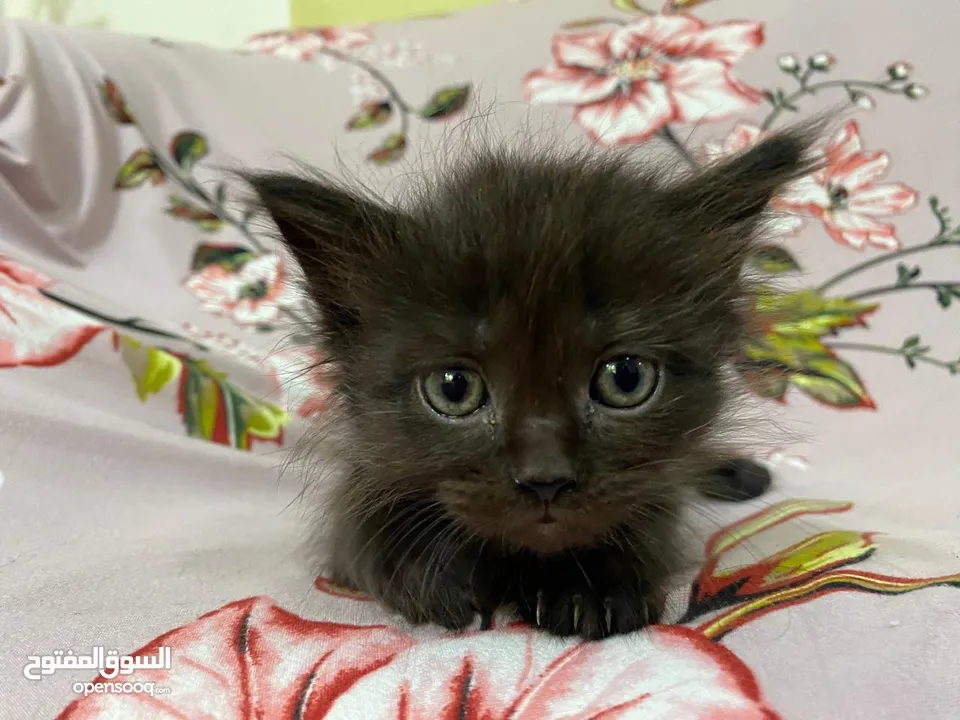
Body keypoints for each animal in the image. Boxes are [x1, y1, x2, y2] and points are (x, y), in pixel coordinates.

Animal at [244, 129, 812, 640]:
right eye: (454, 389)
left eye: (626, 378)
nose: (545, 481)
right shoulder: (357, 488)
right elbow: (364, 530)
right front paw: (435, 574)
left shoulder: (656, 490)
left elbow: (647, 514)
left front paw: (591, 587)